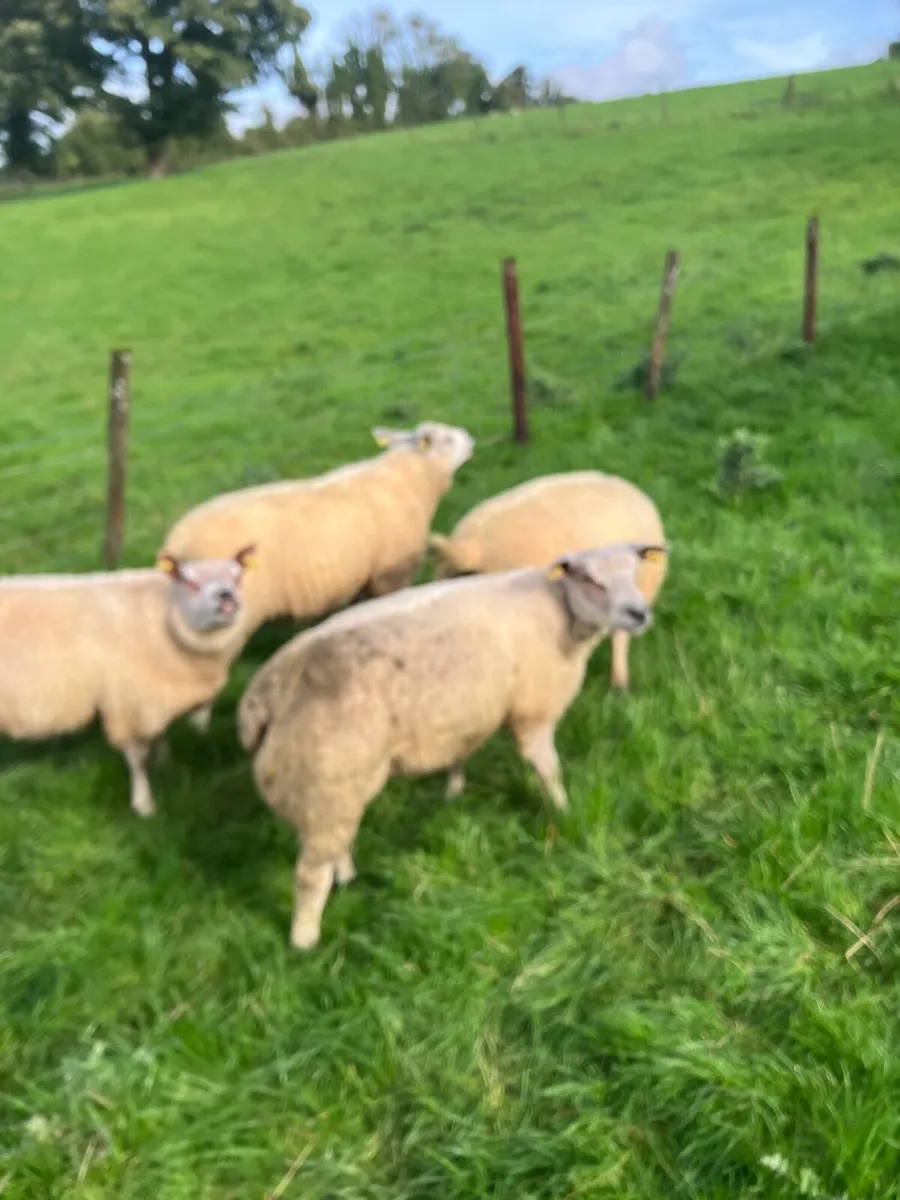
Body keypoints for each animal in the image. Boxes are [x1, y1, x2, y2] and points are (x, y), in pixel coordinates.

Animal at [0, 546, 255, 818]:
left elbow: (159, 734)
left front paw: (165, 764)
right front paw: (144, 805)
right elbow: (137, 758)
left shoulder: (153, 692)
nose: (226, 596)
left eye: (237, 577)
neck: (166, 619)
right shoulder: (128, 700)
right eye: (189, 582)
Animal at [161, 420, 475, 733]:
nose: (471, 440)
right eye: (446, 439)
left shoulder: (366, 579)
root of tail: (176, 544)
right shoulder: (391, 575)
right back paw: (200, 726)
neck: (412, 479)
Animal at [237, 540, 667, 949]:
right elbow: (547, 768)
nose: (639, 614)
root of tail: (264, 696)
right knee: (310, 874)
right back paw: (304, 940)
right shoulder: (532, 712)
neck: (561, 612)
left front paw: (454, 790)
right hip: (326, 780)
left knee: (332, 844)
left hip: (324, 788)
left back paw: (345, 876)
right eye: (590, 580)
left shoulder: (468, 712)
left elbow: (462, 752)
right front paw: (563, 813)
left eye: (634, 571)